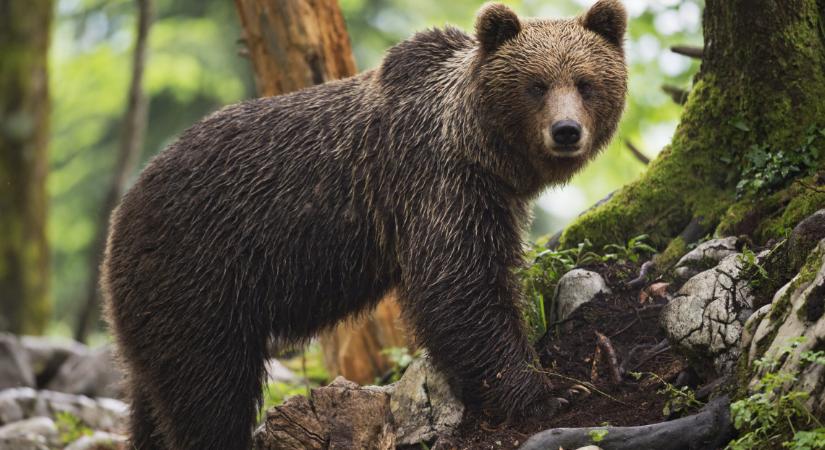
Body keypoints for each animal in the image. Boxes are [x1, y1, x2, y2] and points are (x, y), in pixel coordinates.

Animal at [103, 1, 628, 448]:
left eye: (585, 82)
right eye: (536, 85)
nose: (566, 131)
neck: (480, 148)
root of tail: (122, 212)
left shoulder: (489, 197)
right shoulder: (438, 185)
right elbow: (461, 288)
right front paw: (549, 392)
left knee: (154, 396)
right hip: (198, 276)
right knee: (209, 391)